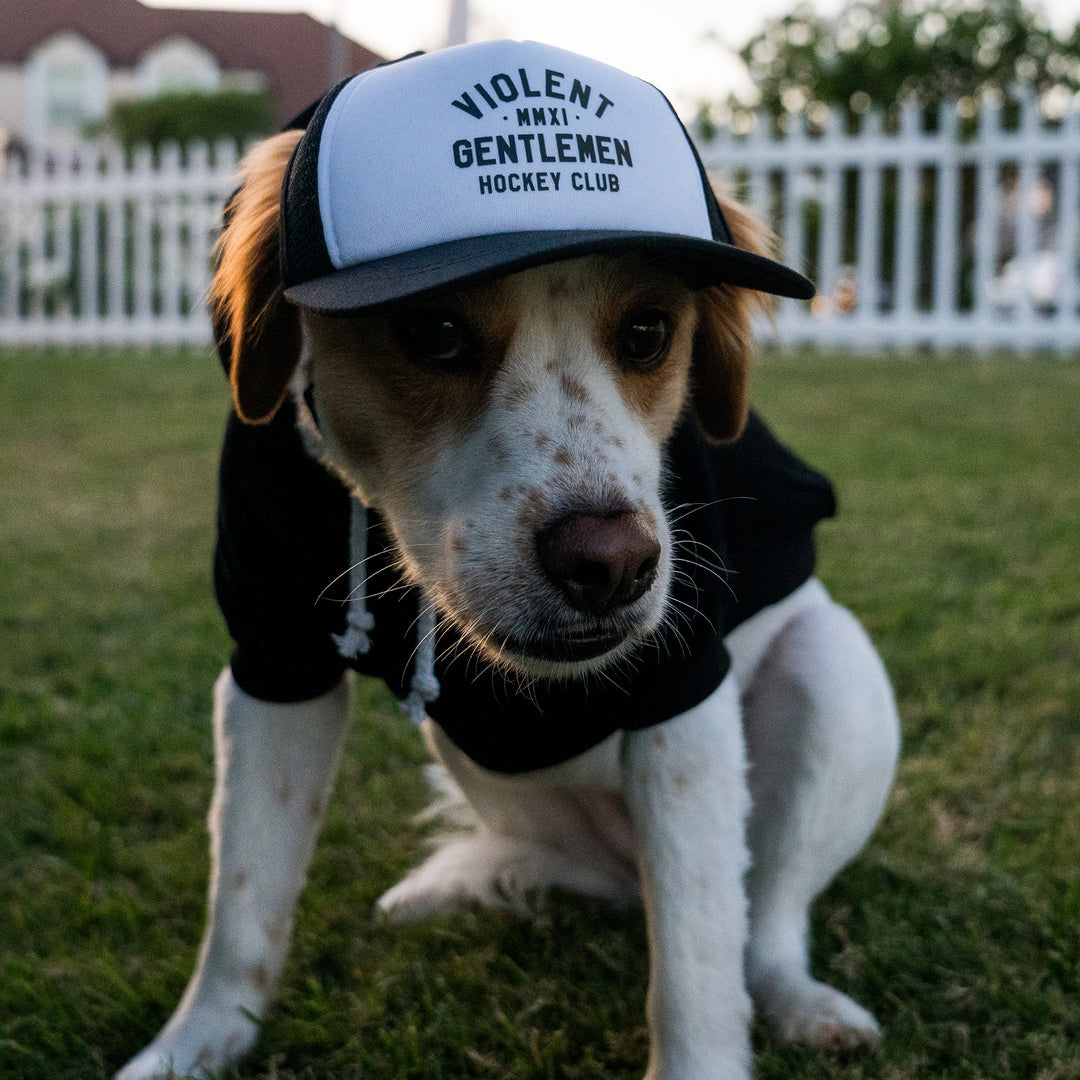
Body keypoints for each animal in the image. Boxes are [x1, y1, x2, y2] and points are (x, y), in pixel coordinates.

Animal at [113, 39, 898, 1080]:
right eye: (434, 331)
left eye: (648, 333)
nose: (612, 565)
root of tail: (617, 868)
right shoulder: (274, 661)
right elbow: (243, 895)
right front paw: (194, 1046)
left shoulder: (683, 690)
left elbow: (697, 965)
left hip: (830, 671)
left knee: (758, 922)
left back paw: (799, 998)